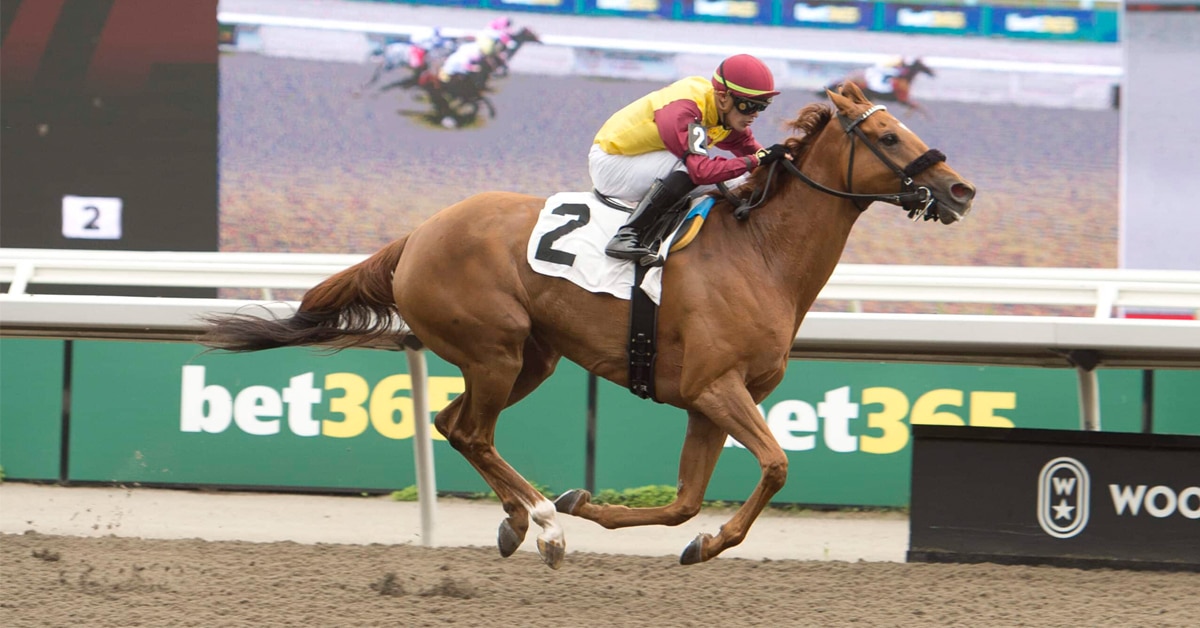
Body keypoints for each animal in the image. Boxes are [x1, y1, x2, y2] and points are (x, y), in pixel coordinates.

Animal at [199, 82, 976, 569]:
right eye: (887, 135)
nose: (960, 189)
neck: (759, 252)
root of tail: (416, 236)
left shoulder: (711, 401)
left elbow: (683, 505)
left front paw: (669, 534)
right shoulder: (716, 387)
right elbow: (778, 465)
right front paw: (580, 513)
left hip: (529, 358)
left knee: (453, 424)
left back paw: (520, 519)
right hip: (495, 349)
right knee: (474, 431)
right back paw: (543, 525)